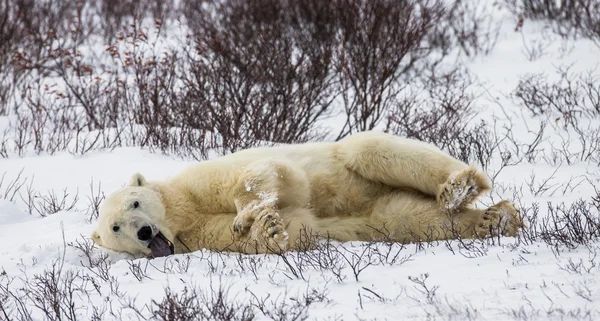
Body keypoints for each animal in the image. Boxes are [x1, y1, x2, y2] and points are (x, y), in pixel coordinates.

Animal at [91, 130, 524, 258]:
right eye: (115, 227)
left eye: (135, 202)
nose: (144, 232)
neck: (181, 210)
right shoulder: (197, 236)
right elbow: (296, 225)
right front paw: (268, 228)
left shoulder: (201, 181)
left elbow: (267, 177)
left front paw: (248, 214)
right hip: (383, 208)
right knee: (413, 219)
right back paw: (494, 219)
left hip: (359, 167)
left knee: (375, 151)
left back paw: (460, 187)